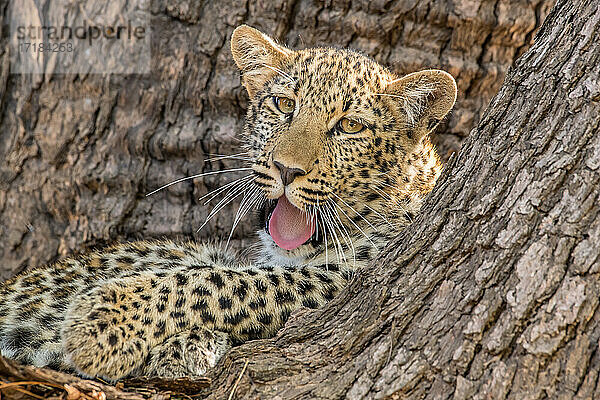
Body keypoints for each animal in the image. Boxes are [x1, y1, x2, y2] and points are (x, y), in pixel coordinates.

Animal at [0, 25, 454, 382]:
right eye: (285, 105)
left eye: (350, 126)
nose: (286, 169)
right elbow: (212, 277)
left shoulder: (341, 277)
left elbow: (218, 284)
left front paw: (102, 326)